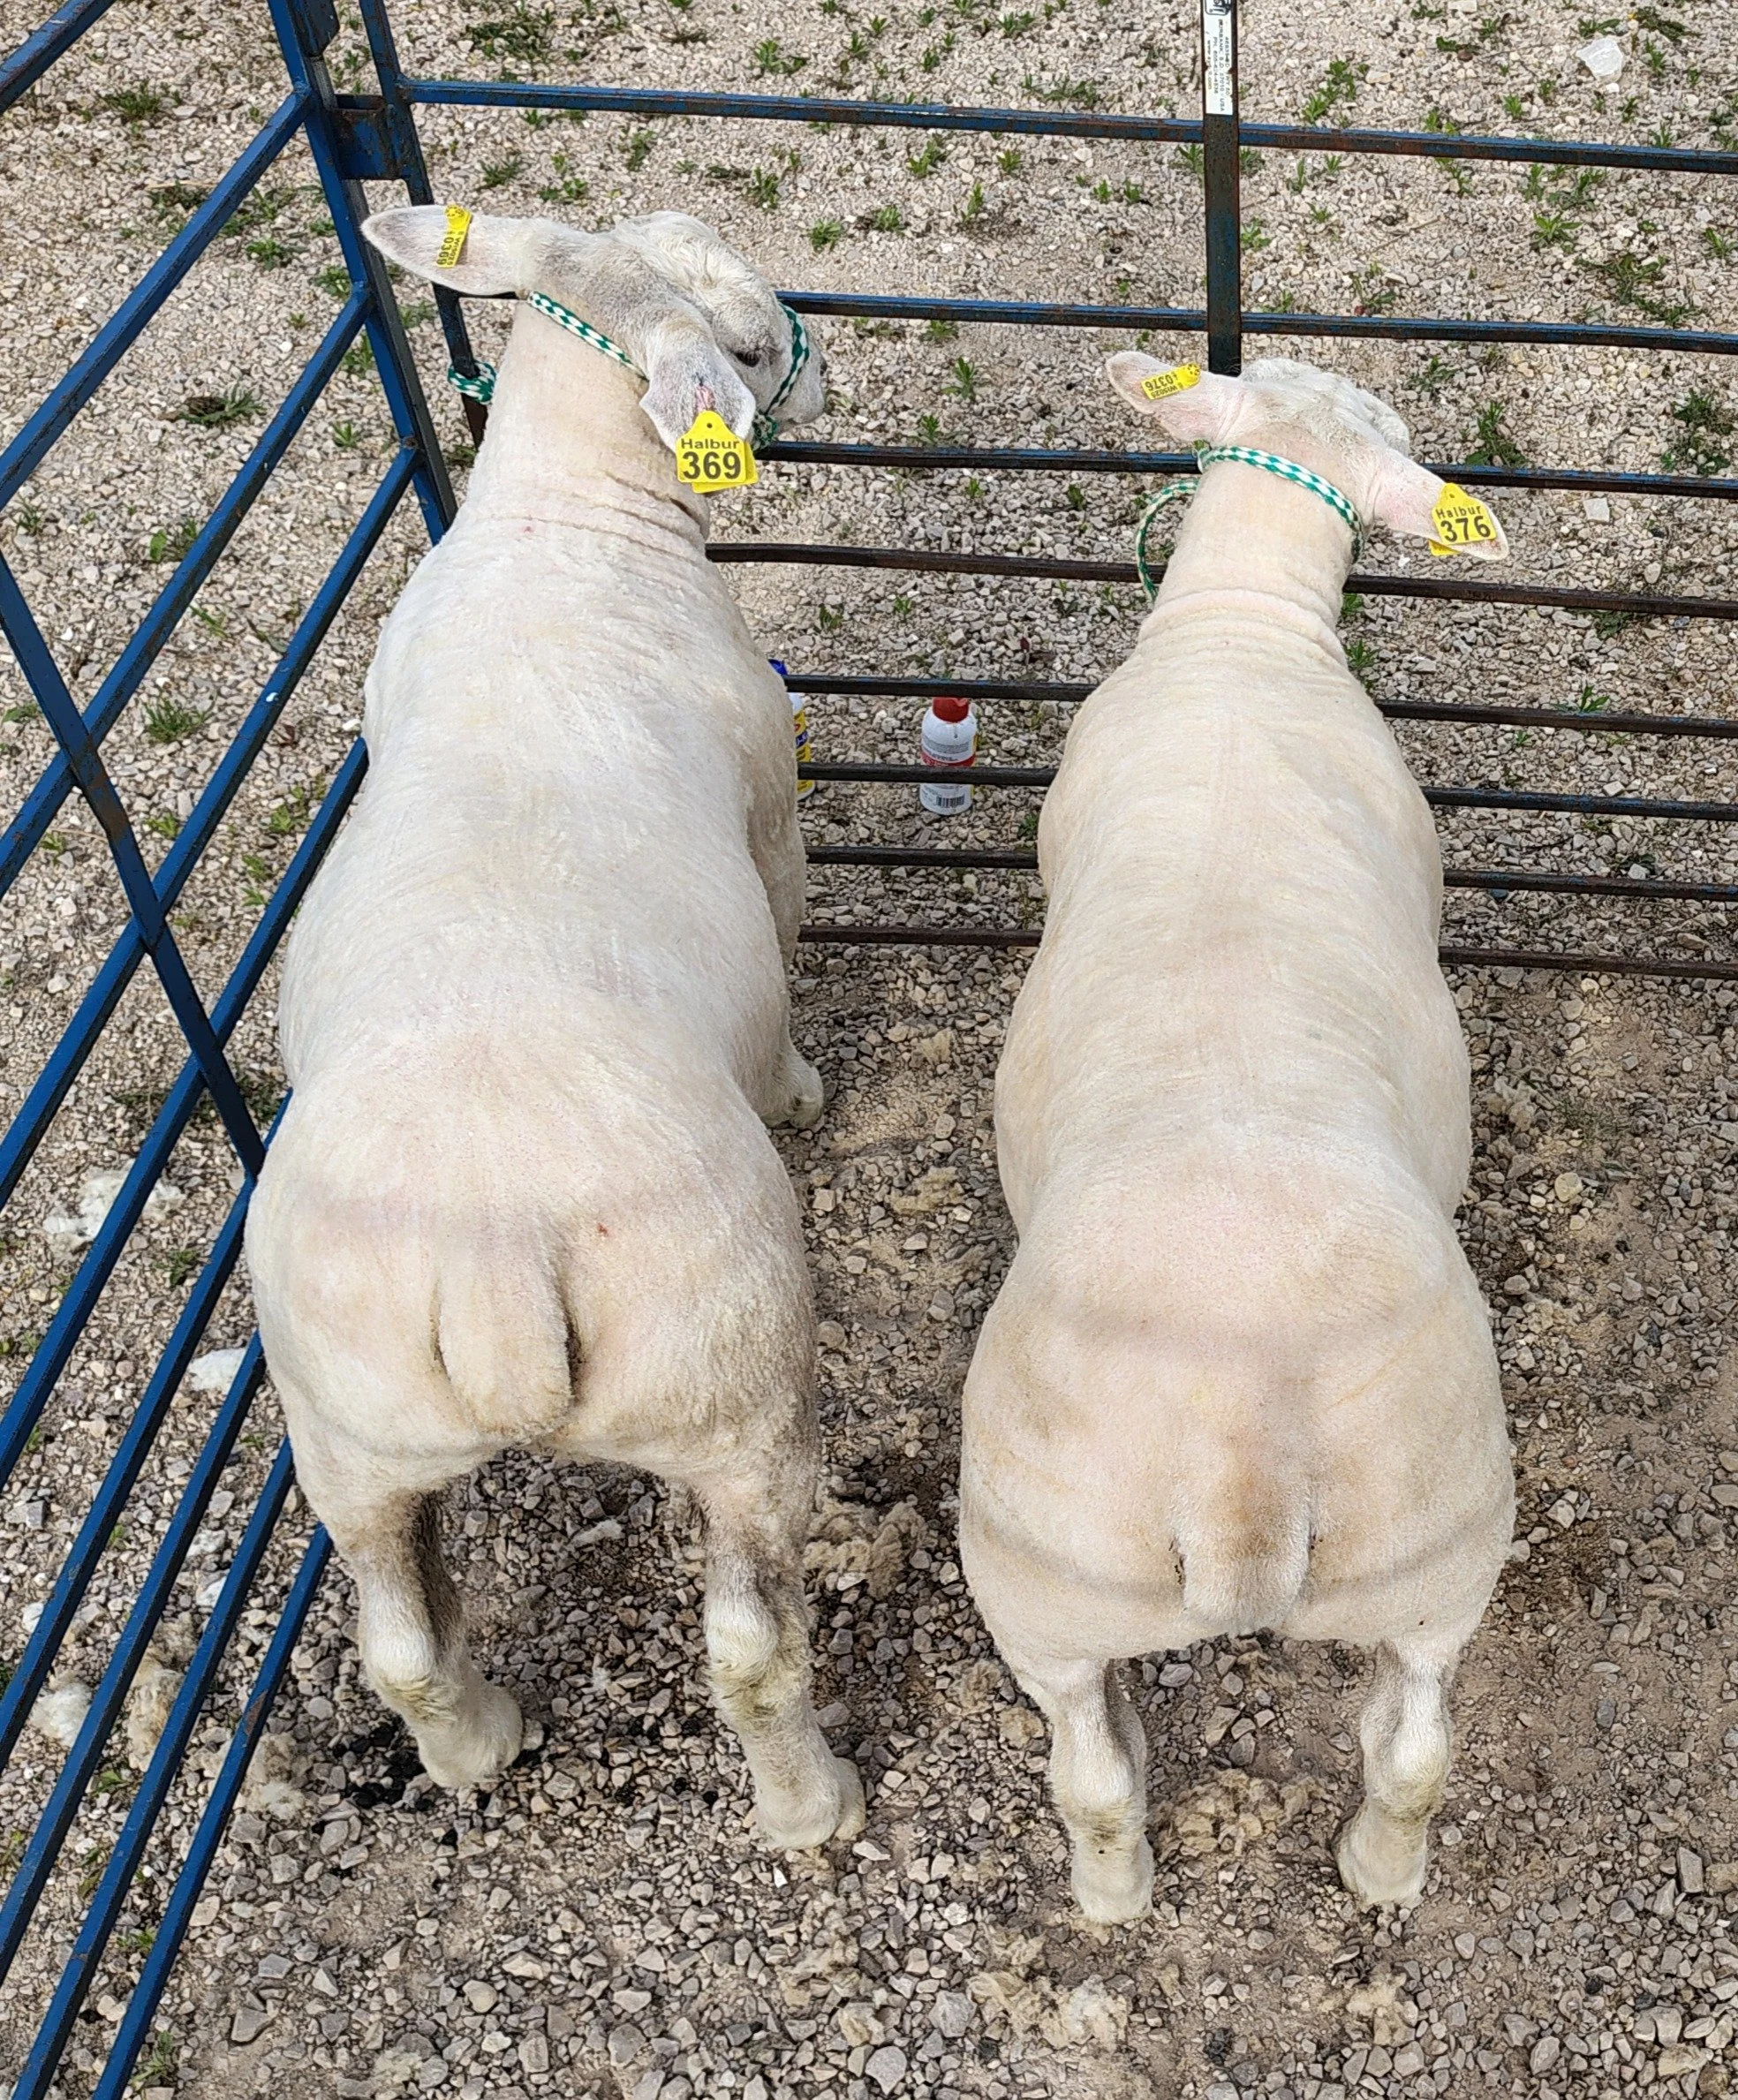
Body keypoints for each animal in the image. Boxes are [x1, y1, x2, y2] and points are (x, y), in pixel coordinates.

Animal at [244, 209, 863, 1850]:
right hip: (733, 1390)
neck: (563, 524)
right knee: (751, 1644)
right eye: (750, 339)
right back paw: (807, 1802)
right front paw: (802, 1087)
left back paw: (476, 1744)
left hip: (346, 1431)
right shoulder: (769, 810)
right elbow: (787, 945)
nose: (816, 360)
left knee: (396, 1639)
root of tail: (495, 1267)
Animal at [959, 355, 1517, 1922]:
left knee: (1100, 1770)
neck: (1245, 629)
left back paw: (1163, 1888)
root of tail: (1246, 1463)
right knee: (1403, 1747)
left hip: (1073, 1579)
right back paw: (1349, 1873)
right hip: (1414, 1547)